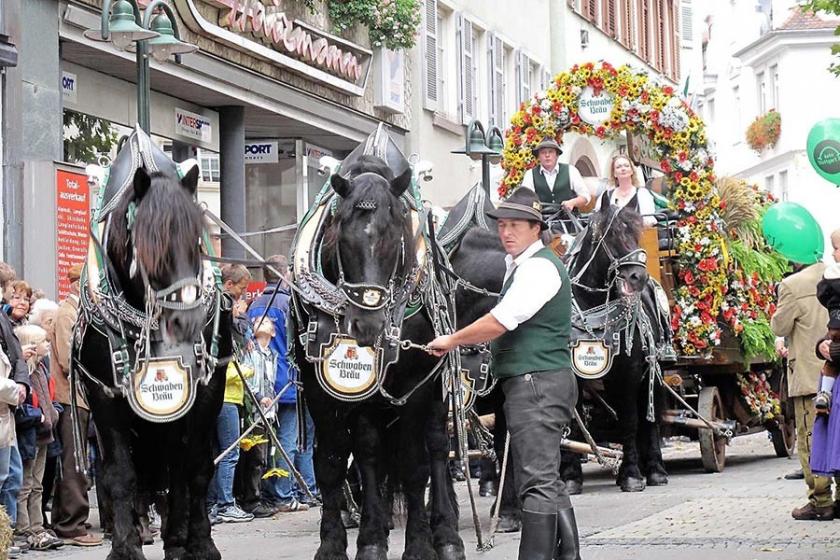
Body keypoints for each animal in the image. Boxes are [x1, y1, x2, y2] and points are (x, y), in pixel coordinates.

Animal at [76, 160, 231, 556]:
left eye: (197, 240)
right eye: (151, 241)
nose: (188, 320)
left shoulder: (206, 391)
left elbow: (196, 468)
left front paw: (200, 543)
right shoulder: (104, 393)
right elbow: (120, 473)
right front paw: (125, 548)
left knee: (177, 465)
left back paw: (177, 537)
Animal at [296, 155, 466, 560]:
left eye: (394, 236)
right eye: (341, 234)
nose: (367, 324)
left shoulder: (415, 387)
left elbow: (414, 464)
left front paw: (419, 544)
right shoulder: (322, 391)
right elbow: (334, 462)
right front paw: (345, 543)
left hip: (436, 390)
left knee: (437, 448)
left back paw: (446, 533)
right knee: (370, 454)